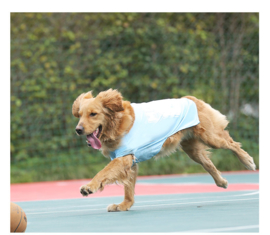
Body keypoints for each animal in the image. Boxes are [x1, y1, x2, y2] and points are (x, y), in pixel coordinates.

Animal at [73, 89, 256, 212]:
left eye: (93, 114)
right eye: (80, 115)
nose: (78, 130)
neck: (117, 122)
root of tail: (191, 99)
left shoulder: (123, 158)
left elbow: (102, 173)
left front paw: (89, 186)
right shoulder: (130, 161)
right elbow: (128, 189)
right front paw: (124, 205)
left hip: (211, 137)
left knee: (232, 144)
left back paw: (247, 161)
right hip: (192, 150)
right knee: (209, 164)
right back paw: (221, 181)